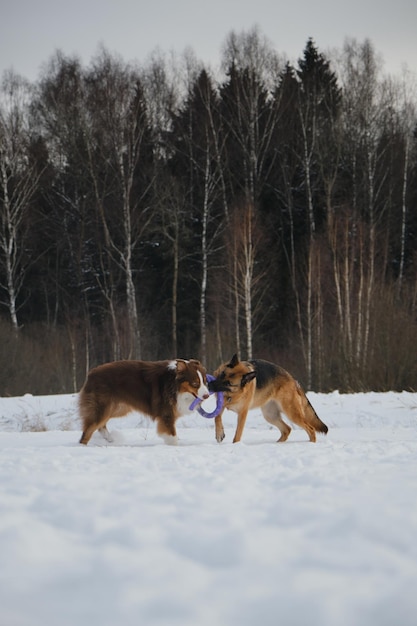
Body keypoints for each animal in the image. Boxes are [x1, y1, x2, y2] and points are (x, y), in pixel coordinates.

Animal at [79, 356, 208, 444]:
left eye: (205, 381)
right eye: (195, 383)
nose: (207, 395)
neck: (175, 385)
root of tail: (90, 374)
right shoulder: (166, 414)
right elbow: (172, 436)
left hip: (118, 408)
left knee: (100, 425)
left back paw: (111, 439)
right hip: (103, 407)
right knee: (88, 430)